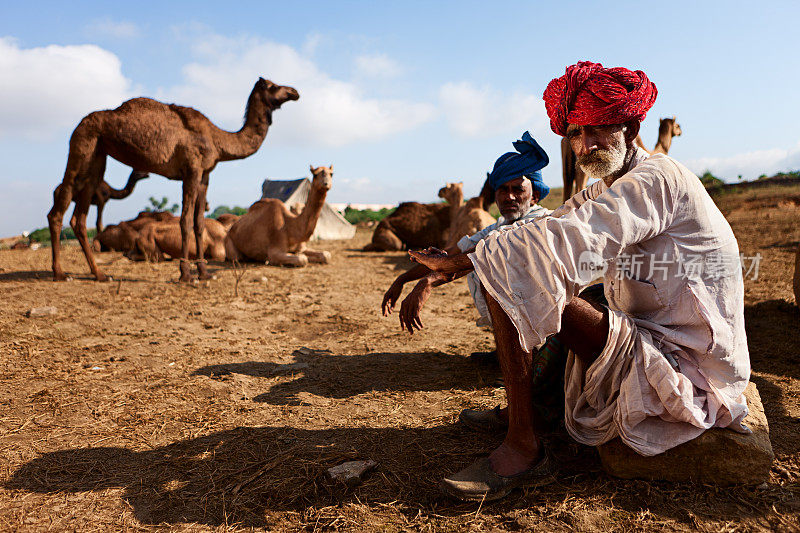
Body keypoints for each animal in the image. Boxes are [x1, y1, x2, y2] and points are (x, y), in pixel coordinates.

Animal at [49, 77, 300, 282]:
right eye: (273, 86)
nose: (295, 91)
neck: (218, 140)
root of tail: (79, 124)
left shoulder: (205, 175)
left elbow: (199, 223)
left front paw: (204, 273)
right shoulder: (191, 170)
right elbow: (185, 221)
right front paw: (186, 275)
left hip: (98, 156)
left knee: (79, 217)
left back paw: (100, 275)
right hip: (82, 144)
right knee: (58, 209)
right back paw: (60, 274)